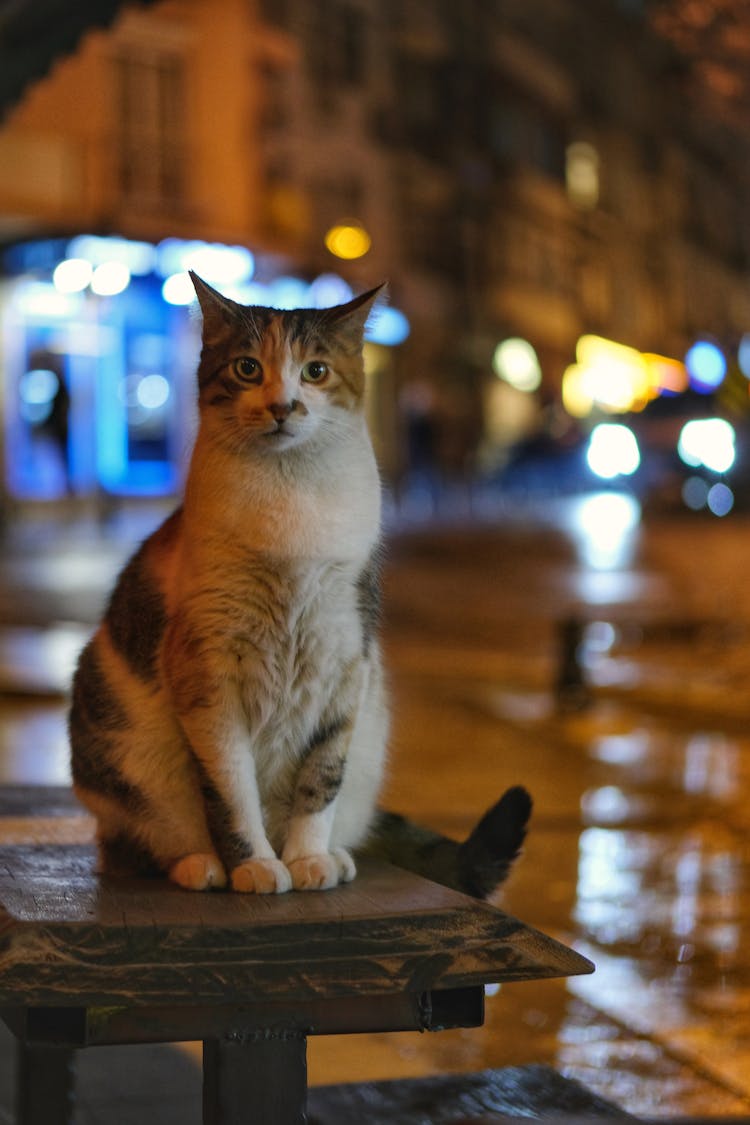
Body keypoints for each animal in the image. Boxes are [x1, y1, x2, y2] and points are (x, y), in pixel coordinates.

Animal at [67, 276, 530, 900]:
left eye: (315, 371)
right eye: (246, 368)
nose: (282, 405)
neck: (290, 503)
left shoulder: (344, 665)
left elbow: (321, 779)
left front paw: (308, 858)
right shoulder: (208, 678)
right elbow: (231, 791)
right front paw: (256, 865)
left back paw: (334, 853)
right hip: (129, 753)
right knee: (130, 841)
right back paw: (197, 864)